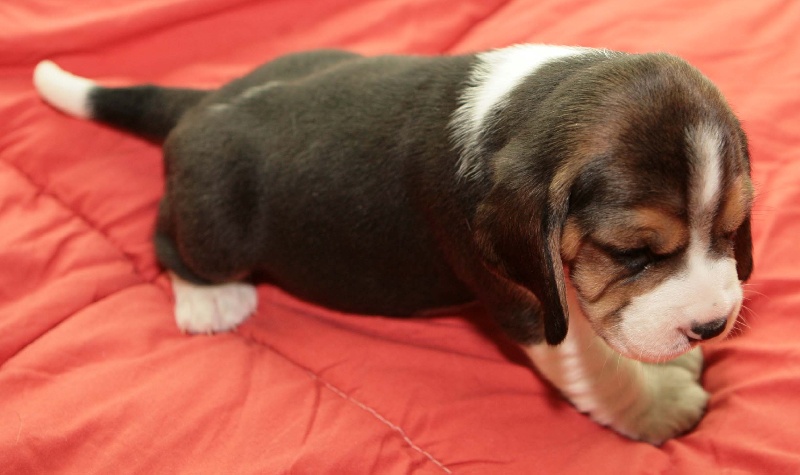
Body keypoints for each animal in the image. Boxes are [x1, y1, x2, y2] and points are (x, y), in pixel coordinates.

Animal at [33, 44, 753, 445]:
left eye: (731, 228)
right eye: (633, 253)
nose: (712, 325)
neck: (533, 99)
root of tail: (204, 105)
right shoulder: (527, 299)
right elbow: (599, 367)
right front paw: (662, 405)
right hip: (216, 231)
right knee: (165, 236)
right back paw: (208, 300)